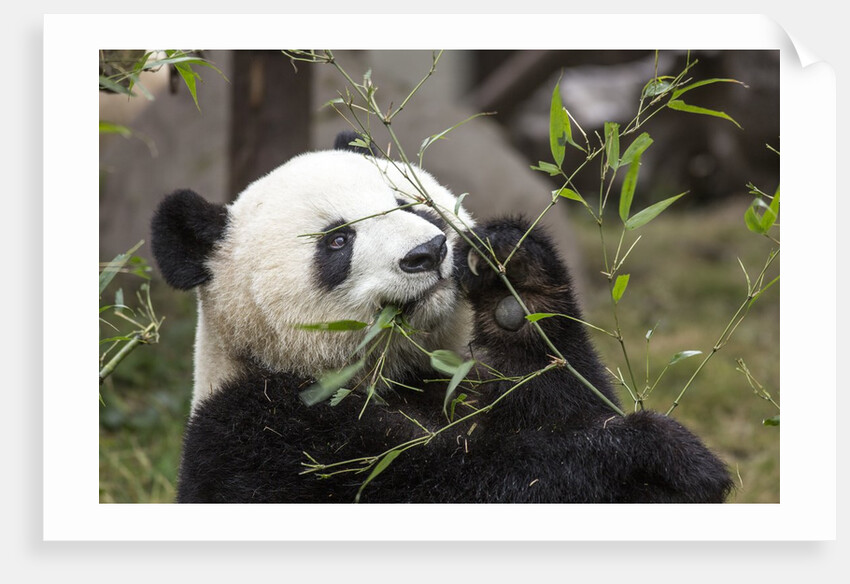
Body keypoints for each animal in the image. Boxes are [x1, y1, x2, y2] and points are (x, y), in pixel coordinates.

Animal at [151, 131, 734, 503]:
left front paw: (513, 282)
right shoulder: (262, 436)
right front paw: (655, 454)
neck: (395, 374)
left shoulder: (464, 379)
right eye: (337, 240)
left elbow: (559, 395)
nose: (427, 252)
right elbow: (463, 481)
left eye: (411, 203)